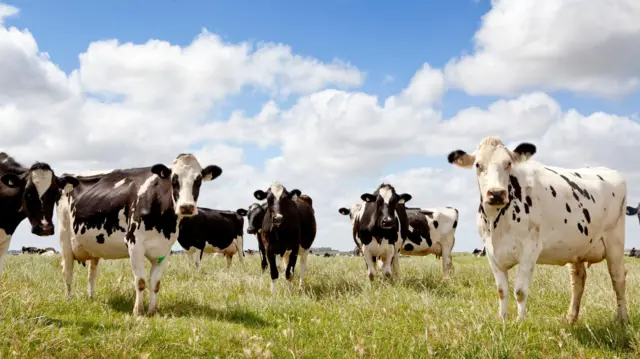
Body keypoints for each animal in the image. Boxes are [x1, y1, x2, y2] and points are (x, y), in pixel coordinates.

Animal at [57, 153, 222, 316]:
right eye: (174, 180)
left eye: (198, 180)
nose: (186, 207)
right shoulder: (134, 244)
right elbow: (141, 281)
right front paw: (138, 311)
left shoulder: (164, 250)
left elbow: (155, 284)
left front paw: (152, 311)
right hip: (64, 237)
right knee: (67, 272)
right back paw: (69, 300)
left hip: (93, 246)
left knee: (91, 274)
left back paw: (91, 298)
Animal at [448, 136, 628, 324]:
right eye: (478, 165)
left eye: (508, 163)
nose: (496, 193)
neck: (497, 224)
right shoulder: (491, 253)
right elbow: (501, 291)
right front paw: (503, 319)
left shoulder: (530, 249)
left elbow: (520, 291)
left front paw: (520, 322)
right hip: (576, 247)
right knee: (578, 279)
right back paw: (571, 318)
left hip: (615, 241)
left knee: (618, 277)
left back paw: (623, 319)